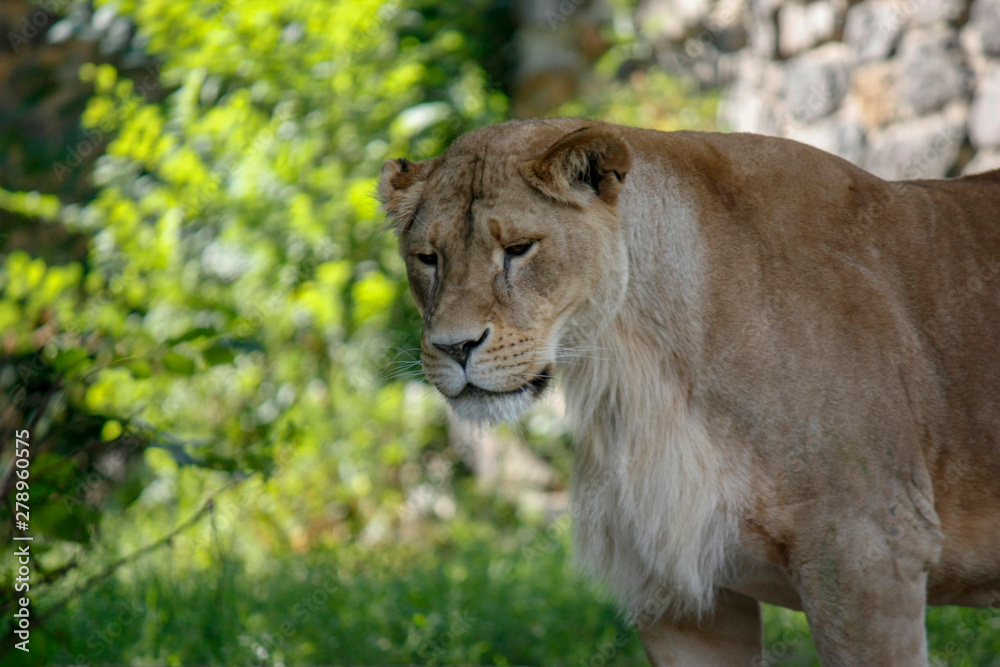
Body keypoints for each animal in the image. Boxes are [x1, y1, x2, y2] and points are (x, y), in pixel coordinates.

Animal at [378, 118, 1000, 666]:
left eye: (519, 248)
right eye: (428, 258)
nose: (455, 347)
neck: (642, 371)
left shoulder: (868, 552)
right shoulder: (679, 597)